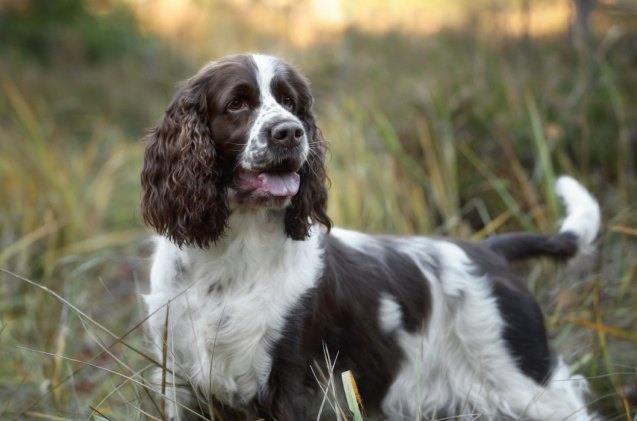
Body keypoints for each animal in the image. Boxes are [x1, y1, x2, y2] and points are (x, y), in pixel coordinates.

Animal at [142, 54, 600, 418]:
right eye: (237, 103)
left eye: (291, 103)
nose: (290, 132)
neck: (230, 257)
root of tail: (488, 251)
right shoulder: (178, 381)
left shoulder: (292, 383)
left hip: (525, 381)